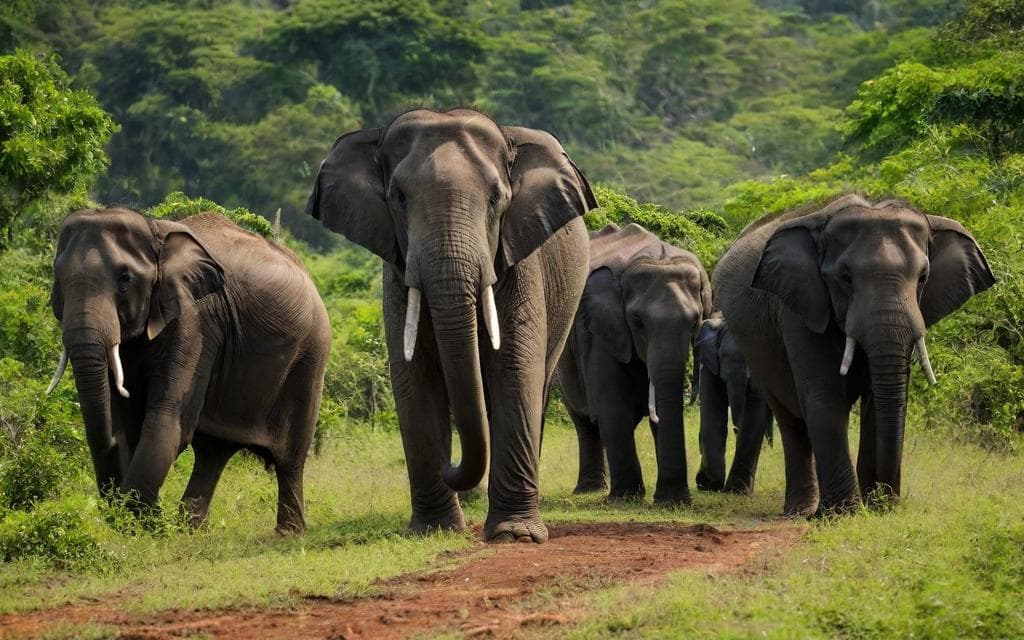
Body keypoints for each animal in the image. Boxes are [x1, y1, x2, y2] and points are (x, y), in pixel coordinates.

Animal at [47, 207, 331, 533]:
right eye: (58, 278)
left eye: (125, 279)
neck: (155, 232)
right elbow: (127, 418)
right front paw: (140, 520)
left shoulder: (196, 321)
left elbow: (168, 418)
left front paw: (143, 523)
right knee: (213, 453)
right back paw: (190, 529)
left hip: (310, 355)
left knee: (289, 458)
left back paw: (288, 534)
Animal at [305, 108, 596, 543]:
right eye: (399, 197)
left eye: (496, 198)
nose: (450, 463)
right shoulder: (396, 271)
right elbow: (414, 376)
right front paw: (434, 530)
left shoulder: (519, 259)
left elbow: (514, 369)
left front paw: (515, 536)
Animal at [557, 223, 712, 504]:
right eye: (638, 322)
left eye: (695, 321)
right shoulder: (603, 329)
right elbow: (613, 404)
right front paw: (626, 499)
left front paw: (669, 501)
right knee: (584, 421)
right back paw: (591, 490)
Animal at [692, 312, 773, 495]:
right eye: (723, 358)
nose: (736, 430)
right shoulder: (709, 364)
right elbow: (714, 415)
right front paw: (708, 486)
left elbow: (754, 414)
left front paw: (737, 492)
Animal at [713, 195, 994, 515]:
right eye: (845, 278)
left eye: (923, 278)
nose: (889, 501)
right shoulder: (802, 305)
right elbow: (825, 397)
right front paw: (842, 514)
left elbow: (878, 402)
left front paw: (876, 507)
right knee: (790, 418)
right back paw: (800, 510)